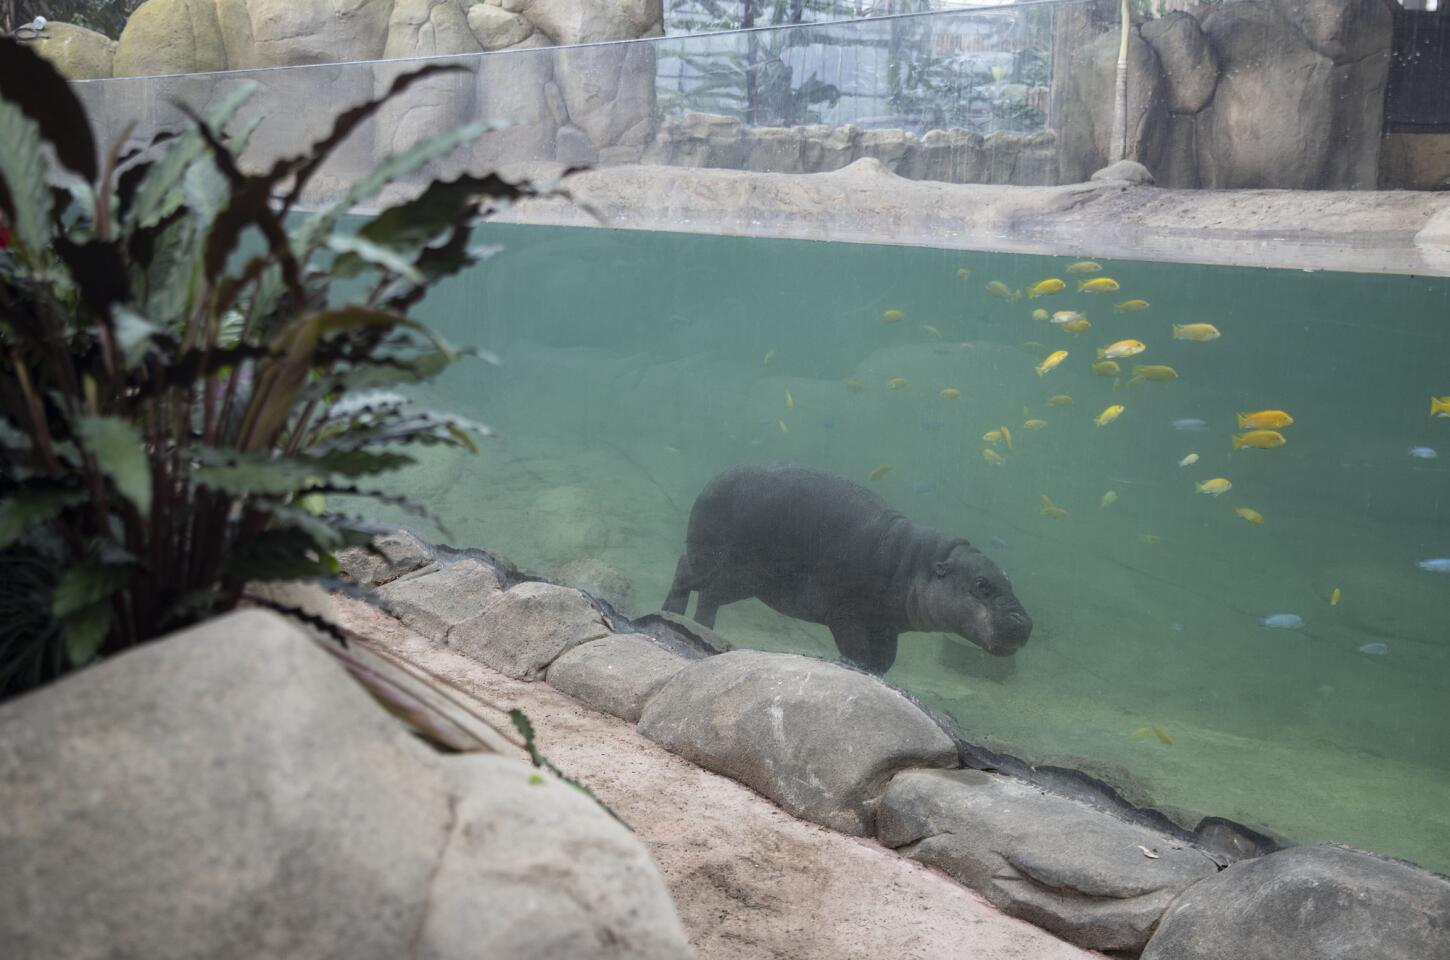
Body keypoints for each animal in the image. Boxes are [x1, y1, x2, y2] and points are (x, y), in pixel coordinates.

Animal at [663, 463, 1031, 674]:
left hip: (743, 580)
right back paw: (671, 614)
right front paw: (856, 668)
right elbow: (858, 652)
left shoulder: (885, 625)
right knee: (683, 571)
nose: (1024, 623)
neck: (917, 563)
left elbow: (884, 660)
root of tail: (711, 481)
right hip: (712, 559)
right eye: (981, 584)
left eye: (1009, 580)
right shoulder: (846, 614)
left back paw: (702, 627)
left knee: (709, 595)